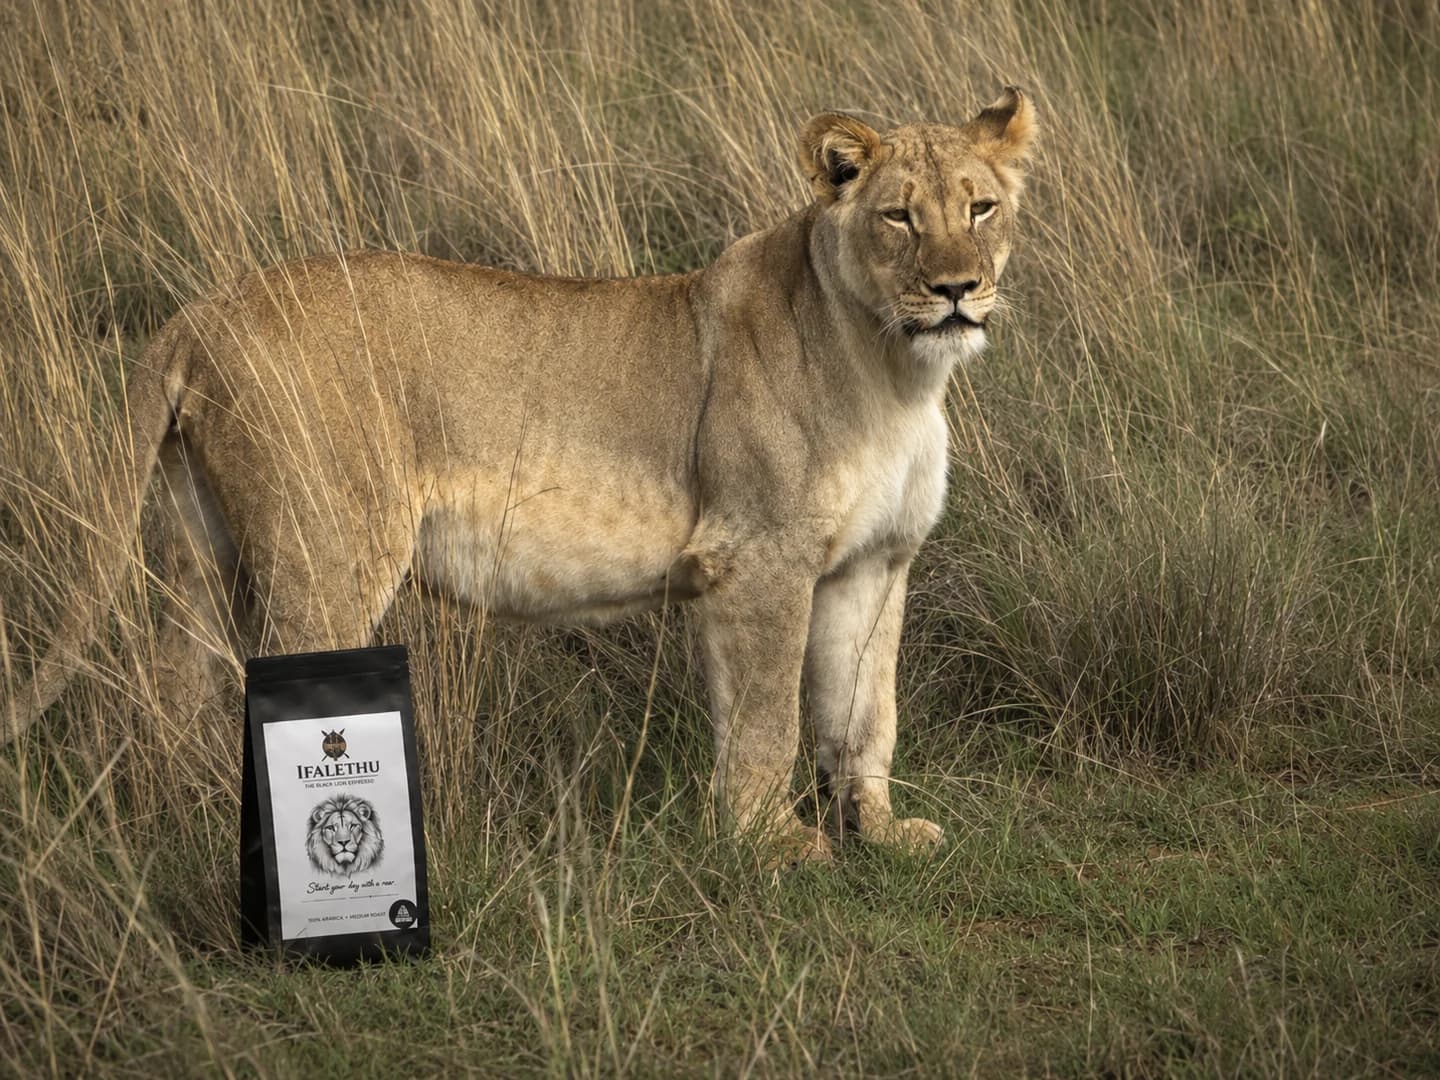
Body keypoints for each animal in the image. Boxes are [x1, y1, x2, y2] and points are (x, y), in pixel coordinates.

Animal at [5, 88, 1037, 865]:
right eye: (899, 216)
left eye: (979, 208)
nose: (956, 289)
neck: (896, 372)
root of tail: (199, 313)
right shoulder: (757, 559)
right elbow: (766, 719)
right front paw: (770, 848)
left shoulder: (873, 564)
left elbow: (865, 713)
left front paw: (882, 833)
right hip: (325, 559)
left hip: (198, 554)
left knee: (167, 696)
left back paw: (176, 827)